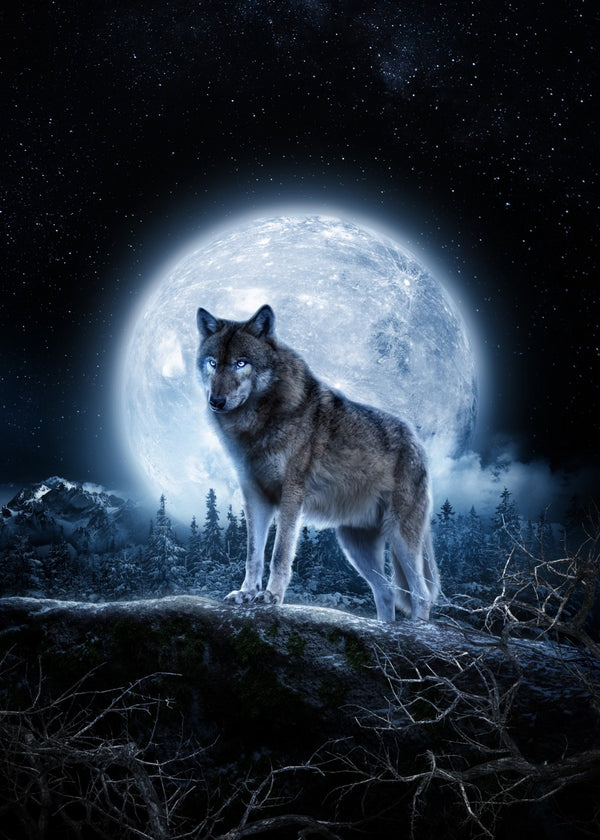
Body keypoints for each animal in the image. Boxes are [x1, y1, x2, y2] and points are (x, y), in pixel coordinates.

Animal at [196, 304, 439, 621]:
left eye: (241, 363)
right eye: (213, 363)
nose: (216, 401)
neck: (257, 423)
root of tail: (418, 443)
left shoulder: (291, 495)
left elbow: (279, 553)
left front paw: (271, 597)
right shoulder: (255, 498)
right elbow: (253, 555)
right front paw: (246, 593)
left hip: (400, 539)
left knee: (421, 594)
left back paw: (417, 628)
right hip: (354, 545)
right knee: (386, 592)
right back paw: (385, 627)